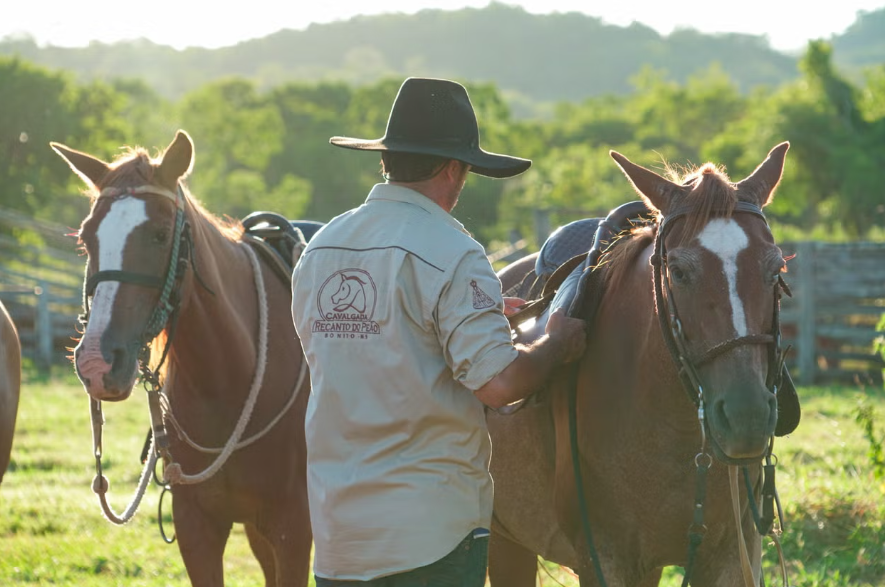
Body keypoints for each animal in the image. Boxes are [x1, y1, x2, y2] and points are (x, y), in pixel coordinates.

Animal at [51, 132, 312, 587]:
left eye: (159, 235)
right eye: (86, 238)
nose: (97, 363)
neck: (228, 379)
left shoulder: (293, 529)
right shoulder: (197, 527)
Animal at [486, 144, 792, 587]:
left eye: (776, 268)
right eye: (678, 271)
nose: (746, 416)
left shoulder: (731, 557)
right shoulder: (603, 560)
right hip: (504, 540)